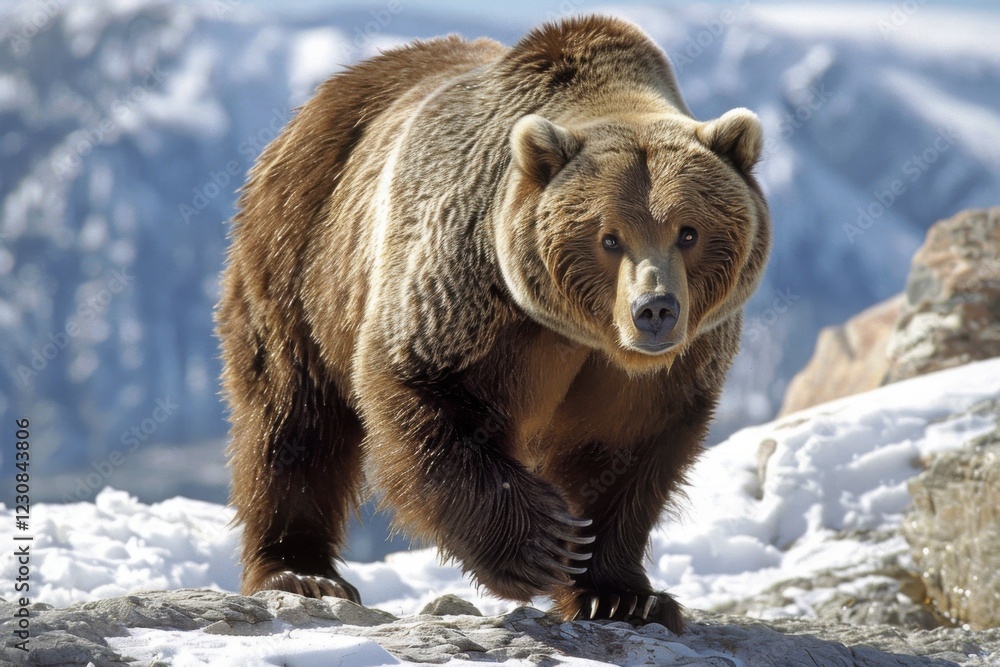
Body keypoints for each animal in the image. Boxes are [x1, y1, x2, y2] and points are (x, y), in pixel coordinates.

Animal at [217, 15, 770, 633]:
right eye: (609, 237)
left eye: (688, 231)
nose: (654, 309)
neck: (584, 334)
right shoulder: (470, 295)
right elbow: (424, 395)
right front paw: (544, 541)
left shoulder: (666, 368)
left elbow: (629, 451)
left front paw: (623, 595)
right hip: (300, 253)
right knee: (292, 416)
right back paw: (302, 573)